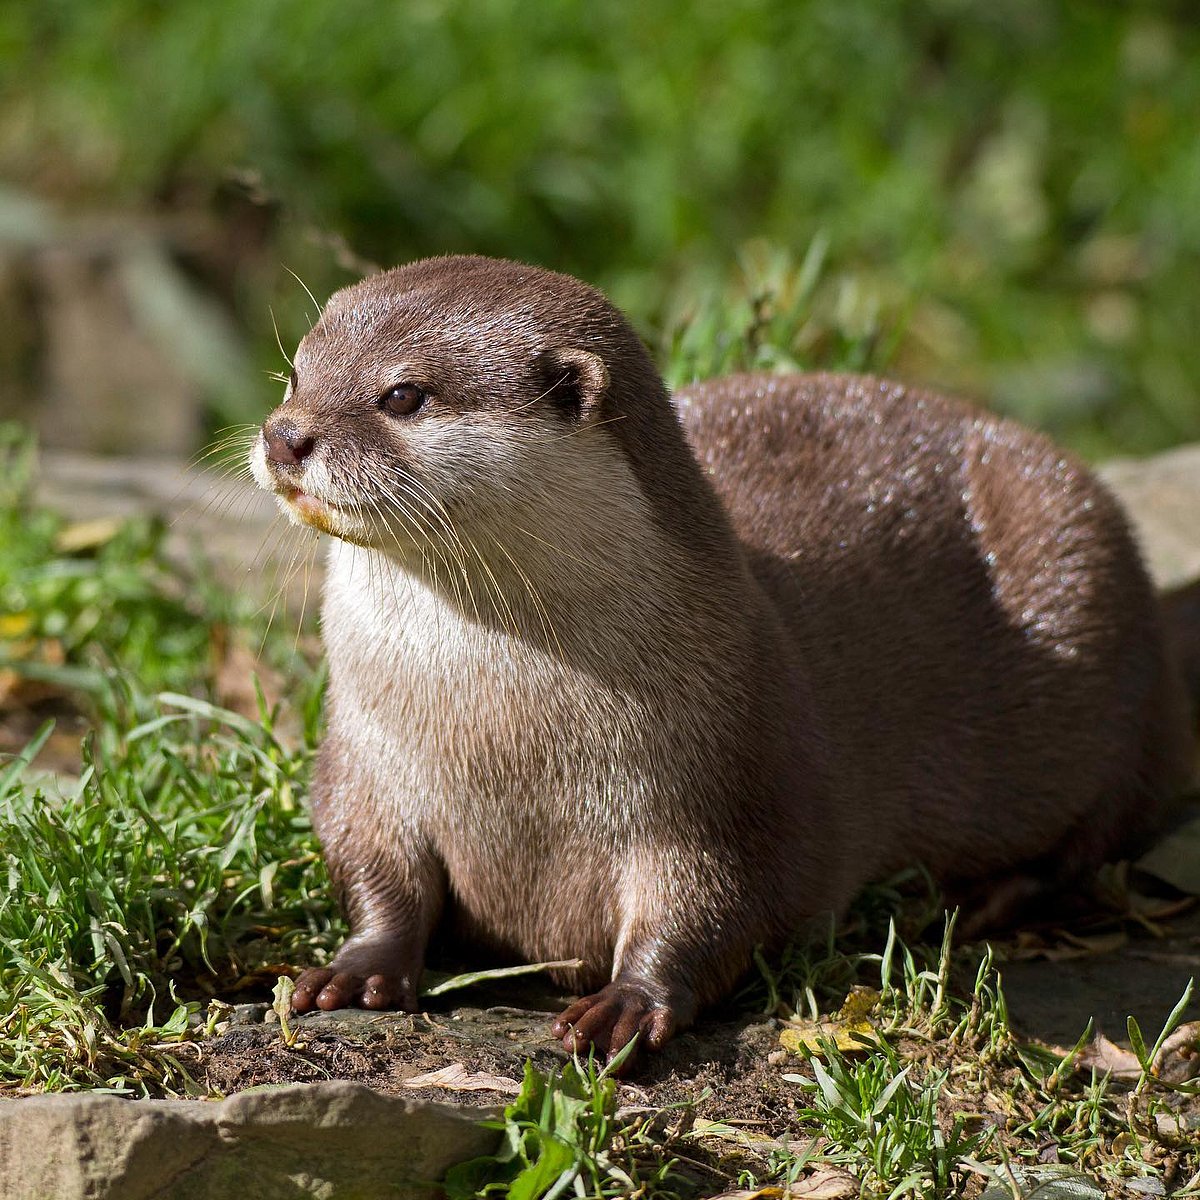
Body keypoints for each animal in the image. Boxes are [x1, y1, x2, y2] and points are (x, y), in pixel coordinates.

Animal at [250, 254, 1194, 1062]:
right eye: (295, 373)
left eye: (403, 394)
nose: (285, 435)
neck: (499, 740)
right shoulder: (365, 760)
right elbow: (373, 867)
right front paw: (358, 967)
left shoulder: (724, 789)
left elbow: (717, 905)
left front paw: (625, 1003)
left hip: (1098, 618)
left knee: (1099, 834)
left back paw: (974, 900)